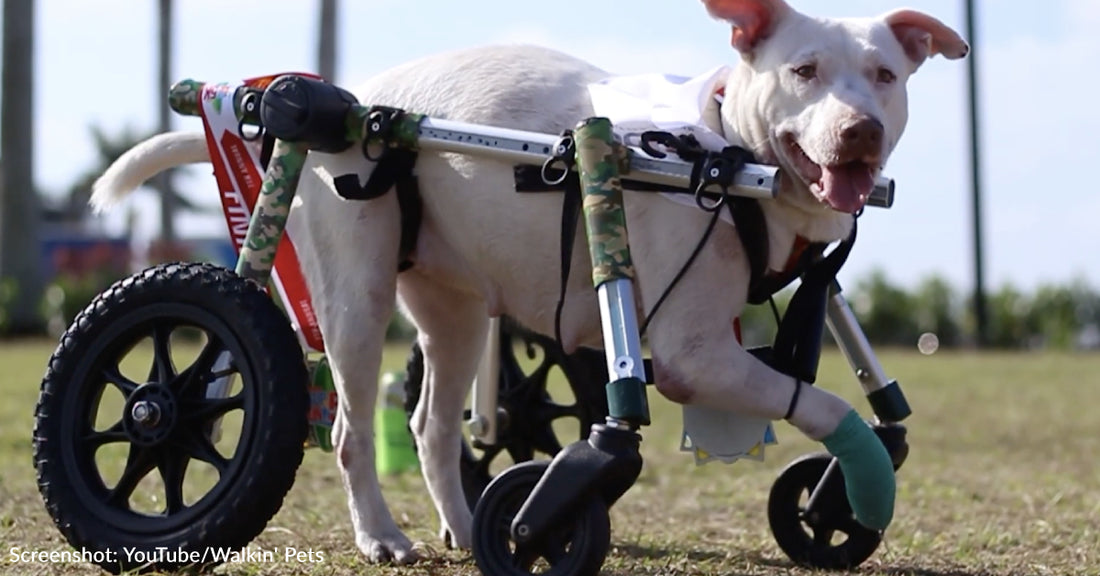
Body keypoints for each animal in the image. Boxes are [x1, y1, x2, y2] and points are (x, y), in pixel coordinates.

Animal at [96, 0, 972, 567]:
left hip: (452, 316)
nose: (858, 132)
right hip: (354, 299)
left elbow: (878, 411)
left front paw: (842, 493)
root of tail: (333, 101)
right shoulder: (692, 357)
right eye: (805, 71)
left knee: (432, 427)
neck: (728, 152)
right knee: (348, 430)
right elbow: (821, 403)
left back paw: (462, 523)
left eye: (884, 75)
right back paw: (382, 536)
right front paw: (857, 480)